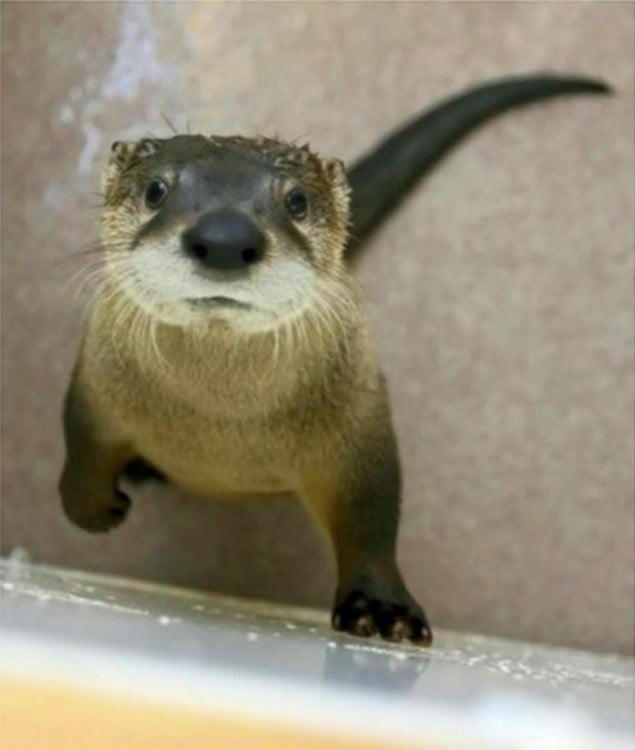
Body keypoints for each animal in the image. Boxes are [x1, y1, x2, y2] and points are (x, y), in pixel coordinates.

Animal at [60, 75, 612, 648]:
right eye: (156, 191)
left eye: (297, 201)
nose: (226, 238)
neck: (221, 429)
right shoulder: (94, 385)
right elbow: (79, 448)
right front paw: (95, 507)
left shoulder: (360, 422)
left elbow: (372, 514)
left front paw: (382, 605)